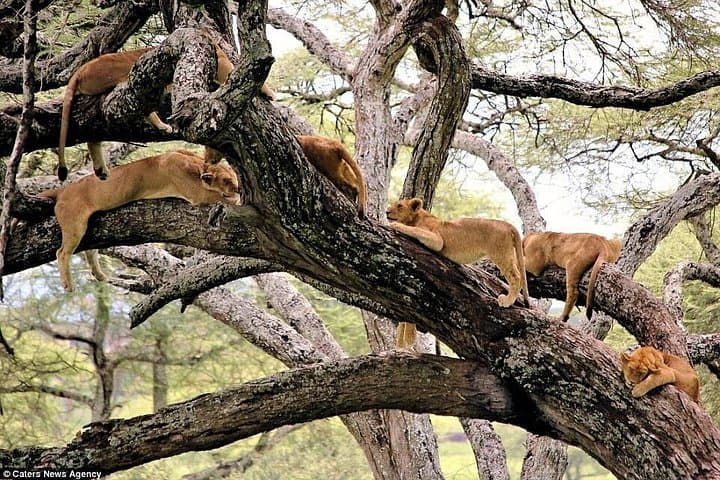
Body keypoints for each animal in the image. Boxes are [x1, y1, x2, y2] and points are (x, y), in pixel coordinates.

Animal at [39, 150, 242, 292]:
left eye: (234, 176)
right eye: (226, 180)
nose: (239, 188)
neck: (197, 166)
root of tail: (63, 189)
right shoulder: (195, 192)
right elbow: (221, 197)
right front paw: (238, 199)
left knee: (91, 250)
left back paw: (100, 275)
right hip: (75, 225)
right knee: (62, 252)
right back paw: (68, 285)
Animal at [387, 197, 529, 348]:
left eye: (399, 205)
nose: (386, 212)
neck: (417, 217)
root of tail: (507, 224)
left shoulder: (437, 240)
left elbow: (414, 230)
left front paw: (396, 225)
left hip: (500, 252)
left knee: (516, 276)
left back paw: (507, 300)